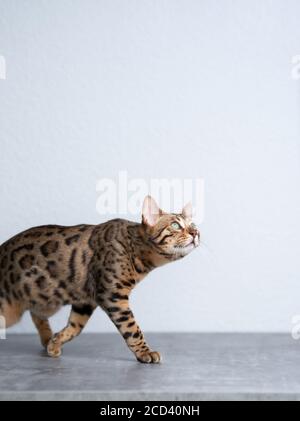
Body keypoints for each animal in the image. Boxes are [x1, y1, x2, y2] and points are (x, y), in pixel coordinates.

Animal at [0, 195, 202, 362]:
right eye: (176, 225)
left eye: (194, 225)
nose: (196, 233)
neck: (136, 252)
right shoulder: (112, 295)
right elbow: (132, 328)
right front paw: (145, 352)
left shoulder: (85, 300)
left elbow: (75, 327)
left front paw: (55, 342)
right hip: (10, 311)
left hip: (46, 299)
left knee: (36, 314)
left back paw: (47, 338)